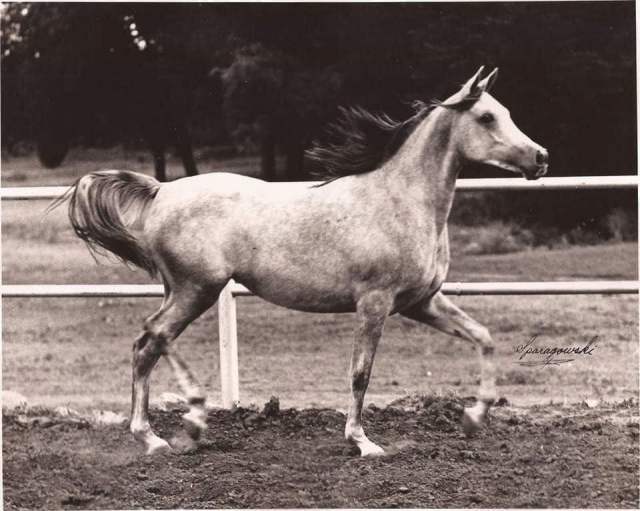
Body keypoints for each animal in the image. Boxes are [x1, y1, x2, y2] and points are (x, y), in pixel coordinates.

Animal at [53, 67, 552, 456]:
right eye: (486, 116)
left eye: (506, 113)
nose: (541, 157)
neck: (400, 201)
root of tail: (161, 190)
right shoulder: (375, 303)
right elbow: (360, 373)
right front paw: (362, 442)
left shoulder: (421, 302)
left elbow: (484, 339)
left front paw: (472, 419)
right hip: (198, 289)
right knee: (151, 338)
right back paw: (180, 426)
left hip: (181, 289)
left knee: (146, 344)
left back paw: (159, 434)